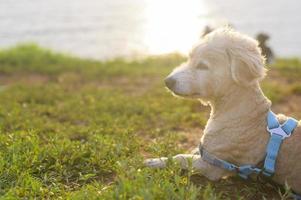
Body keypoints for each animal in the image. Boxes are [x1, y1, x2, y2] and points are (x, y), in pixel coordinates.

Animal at [144, 28, 300, 194]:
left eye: (203, 66)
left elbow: (180, 157)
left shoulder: (213, 165)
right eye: (189, 59)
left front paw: (156, 161)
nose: (167, 81)